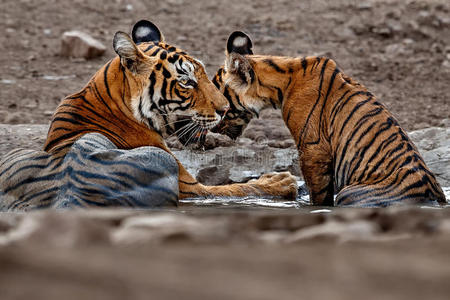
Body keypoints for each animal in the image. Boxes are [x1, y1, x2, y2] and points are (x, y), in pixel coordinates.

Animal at [0, 21, 298, 211]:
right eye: (187, 81)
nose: (224, 108)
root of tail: (67, 196)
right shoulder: (192, 188)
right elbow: (238, 188)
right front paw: (279, 181)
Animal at [212, 31, 446, 207]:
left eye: (219, 99)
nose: (210, 128)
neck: (282, 80)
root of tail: (433, 194)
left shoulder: (313, 148)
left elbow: (319, 194)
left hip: (350, 193)